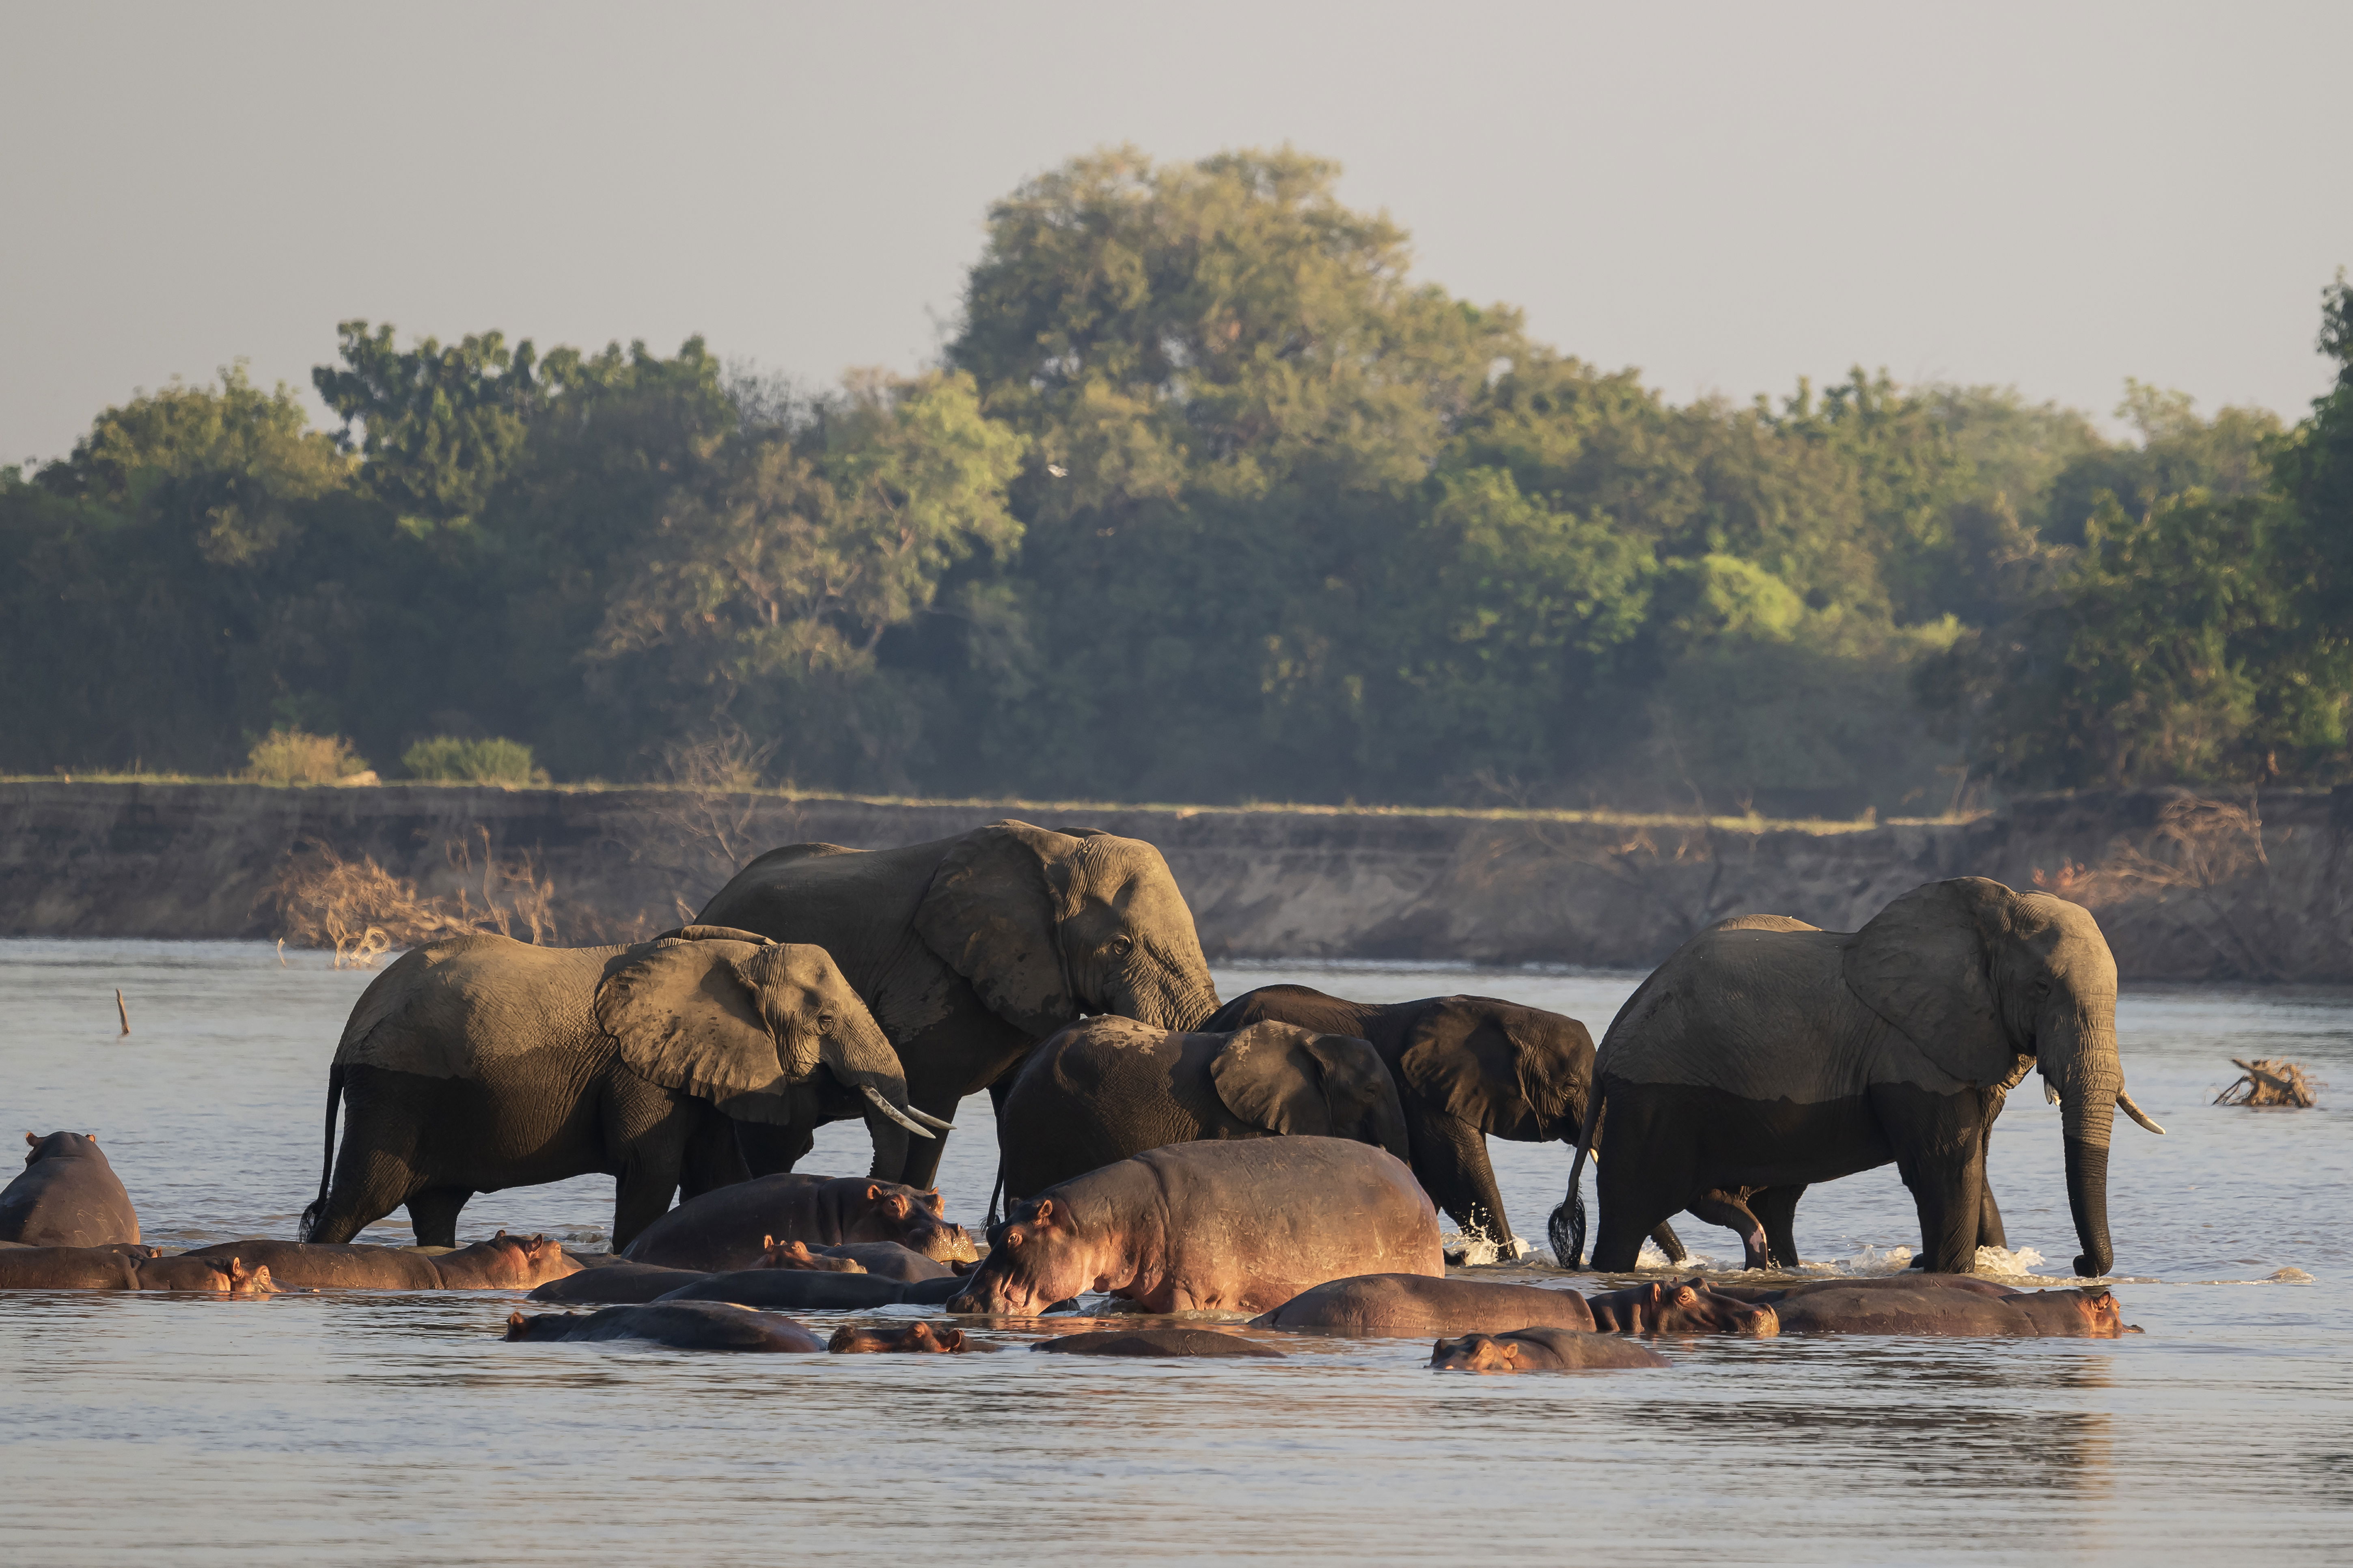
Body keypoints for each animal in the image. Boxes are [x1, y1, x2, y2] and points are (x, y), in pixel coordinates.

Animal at [300, 927, 945, 1250]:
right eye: (825, 1021)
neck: (737, 958)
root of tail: (349, 1032)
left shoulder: (693, 1065)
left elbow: (719, 1175)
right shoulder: (638, 1069)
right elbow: (650, 1168)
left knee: (435, 1209)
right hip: (393, 1094)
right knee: (358, 1202)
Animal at [1551, 878, 2166, 1278]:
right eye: (2041, 989)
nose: (2081, 1264)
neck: (1994, 913)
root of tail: (1615, 1033)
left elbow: (1978, 1163)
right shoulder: (1909, 1051)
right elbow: (1947, 1165)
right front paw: (1947, 1272)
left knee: (1769, 1203)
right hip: (1653, 1101)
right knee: (1629, 1212)